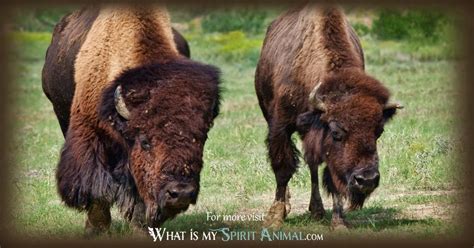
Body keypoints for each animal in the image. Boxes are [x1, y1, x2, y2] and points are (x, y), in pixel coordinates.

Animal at [41, 5, 219, 234]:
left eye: (202, 138)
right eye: (145, 142)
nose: (180, 193)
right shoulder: (91, 138)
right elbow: (96, 189)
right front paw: (96, 229)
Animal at [254, 3, 402, 229]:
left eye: (379, 132)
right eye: (336, 132)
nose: (367, 179)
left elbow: (331, 175)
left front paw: (339, 221)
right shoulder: (280, 127)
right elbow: (283, 168)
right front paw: (275, 217)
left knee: (313, 165)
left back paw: (316, 210)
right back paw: (289, 206)